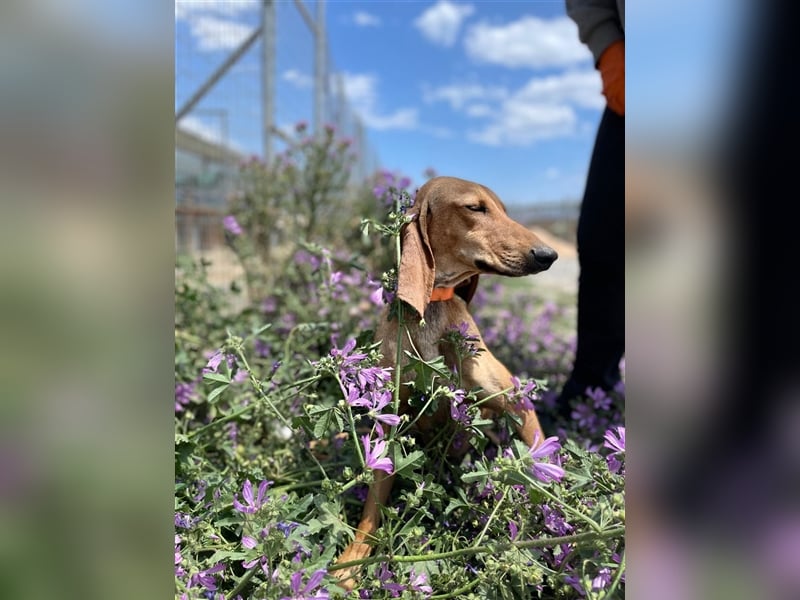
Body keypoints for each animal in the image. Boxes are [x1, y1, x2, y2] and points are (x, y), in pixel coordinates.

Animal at [332, 176, 556, 588]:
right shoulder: (390, 419)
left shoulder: (518, 403)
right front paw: (353, 560)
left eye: (504, 210)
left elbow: (538, 458)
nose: (548, 255)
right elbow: (373, 504)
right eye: (475, 208)